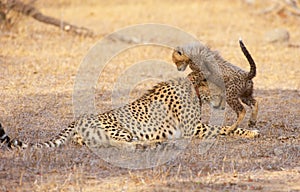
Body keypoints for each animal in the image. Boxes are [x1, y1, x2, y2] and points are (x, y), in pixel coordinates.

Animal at [0, 73, 258, 150]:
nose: (225, 101)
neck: (194, 88)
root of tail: (79, 117)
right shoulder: (194, 129)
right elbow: (225, 129)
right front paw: (249, 132)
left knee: (87, 142)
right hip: (120, 129)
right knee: (115, 142)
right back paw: (147, 144)